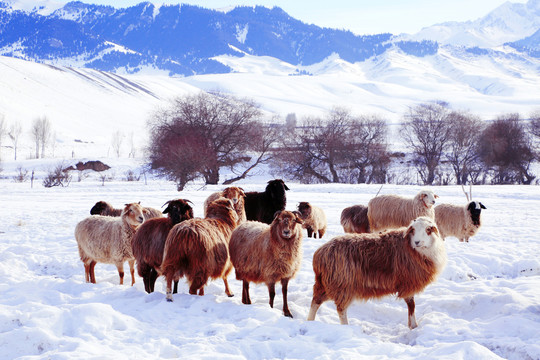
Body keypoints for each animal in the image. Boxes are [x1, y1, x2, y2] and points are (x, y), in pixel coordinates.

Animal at [308, 217, 448, 330]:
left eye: (428, 230)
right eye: (412, 230)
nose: (417, 242)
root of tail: (320, 253)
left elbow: (411, 305)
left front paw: (412, 325)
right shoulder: (408, 282)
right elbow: (411, 305)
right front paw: (414, 326)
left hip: (325, 283)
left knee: (316, 301)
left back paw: (310, 321)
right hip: (342, 284)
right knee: (341, 309)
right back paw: (346, 327)